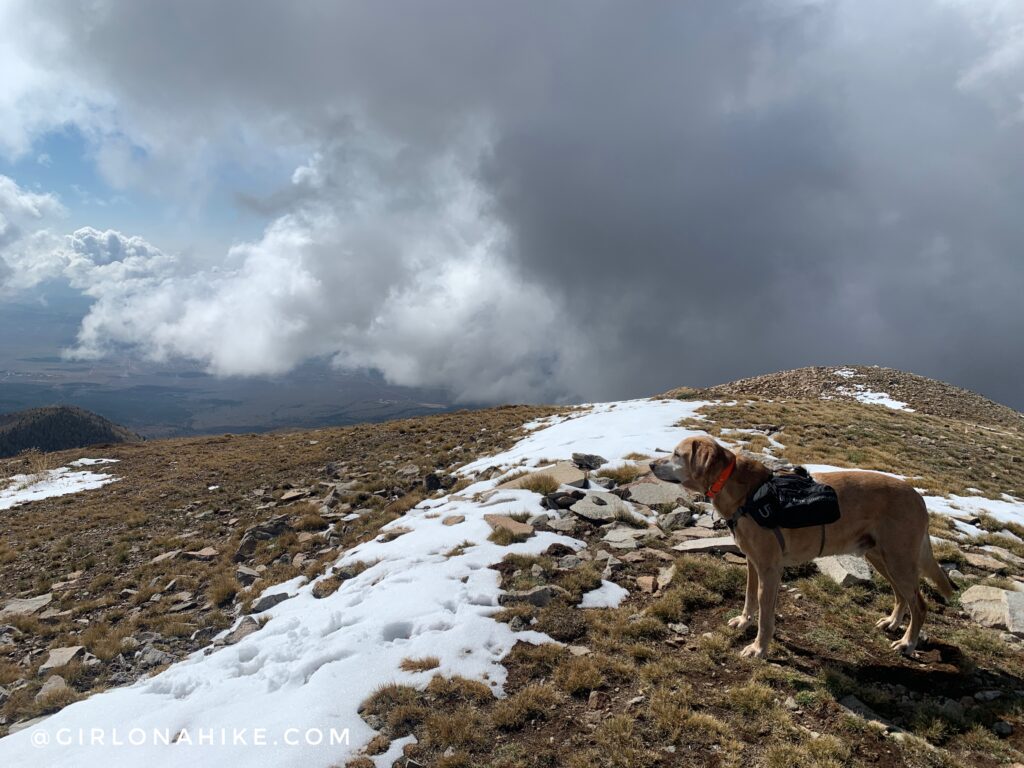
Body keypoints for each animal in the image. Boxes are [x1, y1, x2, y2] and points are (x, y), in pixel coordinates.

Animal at [651, 438, 954, 663]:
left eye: (676, 454)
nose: (652, 464)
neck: (744, 492)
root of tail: (919, 498)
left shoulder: (770, 568)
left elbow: (765, 612)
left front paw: (759, 648)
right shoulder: (752, 562)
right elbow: (749, 596)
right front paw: (744, 621)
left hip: (898, 560)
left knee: (920, 604)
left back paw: (907, 643)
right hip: (882, 558)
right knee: (902, 596)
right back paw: (892, 623)